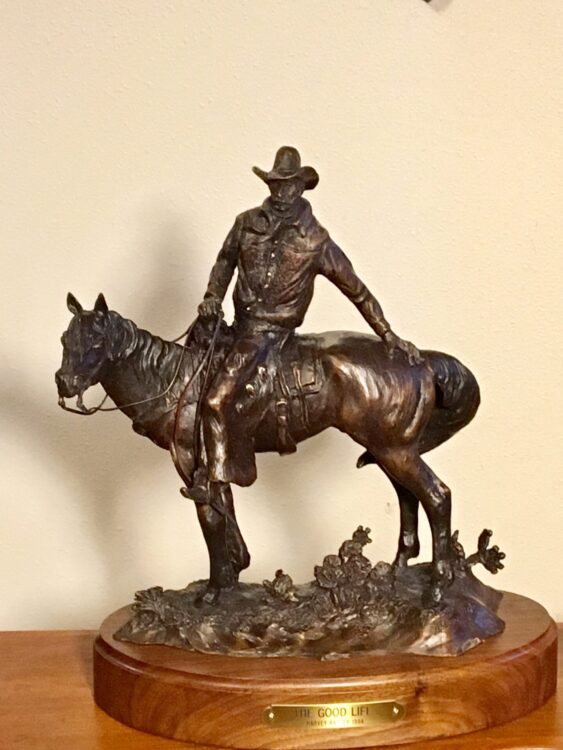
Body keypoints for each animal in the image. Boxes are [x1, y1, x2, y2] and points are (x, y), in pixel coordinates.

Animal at [56, 294, 480, 604]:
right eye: (64, 340)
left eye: (96, 342)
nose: (64, 382)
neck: (176, 383)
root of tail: (421, 359)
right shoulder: (217, 461)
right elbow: (225, 508)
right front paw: (234, 573)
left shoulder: (193, 465)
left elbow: (210, 519)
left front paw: (213, 591)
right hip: (391, 447)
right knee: (409, 495)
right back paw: (399, 568)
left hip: (394, 450)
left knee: (437, 496)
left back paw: (438, 586)